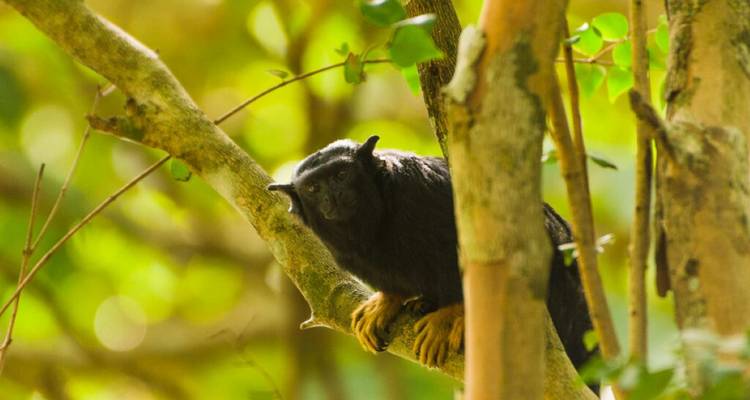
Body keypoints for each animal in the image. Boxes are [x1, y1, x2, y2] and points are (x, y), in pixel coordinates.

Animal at [268, 135, 595, 372]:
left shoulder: (421, 189)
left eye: (341, 174)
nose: (332, 196)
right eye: (313, 187)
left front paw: (450, 314)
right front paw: (388, 300)